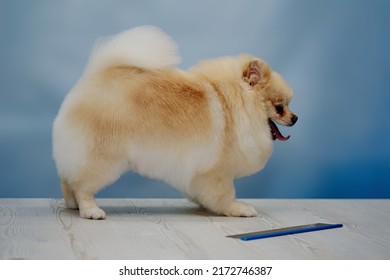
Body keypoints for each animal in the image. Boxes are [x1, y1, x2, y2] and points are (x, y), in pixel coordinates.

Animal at [51, 25, 298, 219]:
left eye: (289, 104)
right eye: (279, 107)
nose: (295, 118)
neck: (234, 103)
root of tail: (93, 79)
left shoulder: (199, 173)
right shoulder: (218, 171)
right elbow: (225, 194)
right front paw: (237, 208)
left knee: (67, 178)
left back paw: (72, 205)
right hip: (102, 157)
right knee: (83, 185)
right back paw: (90, 210)